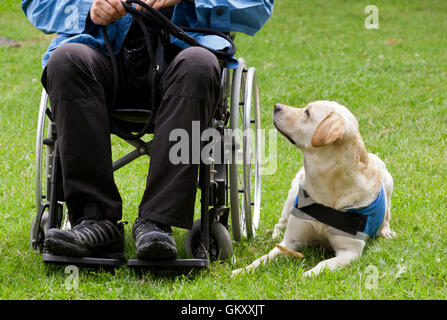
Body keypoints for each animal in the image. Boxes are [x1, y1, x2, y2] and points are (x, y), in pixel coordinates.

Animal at [234, 100, 396, 278]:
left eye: (307, 113)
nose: (276, 106)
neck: (327, 184)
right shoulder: (290, 242)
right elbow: (264, 258)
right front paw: (242, 270)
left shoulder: (349, 252)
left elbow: (322, 265)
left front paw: (305, 275)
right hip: (292, 195)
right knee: (280, 223)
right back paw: (275, 234)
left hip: (388, 182)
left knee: (386, 215)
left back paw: (386, 231)